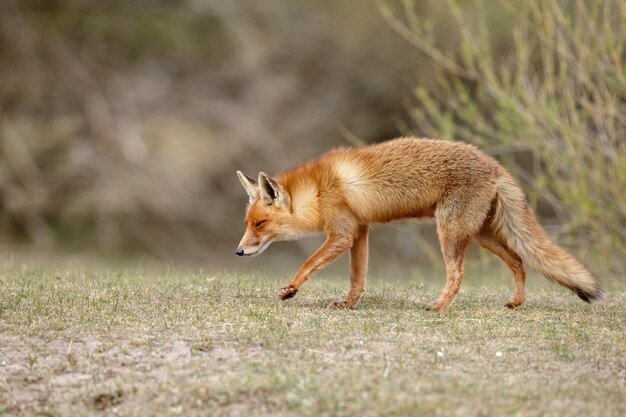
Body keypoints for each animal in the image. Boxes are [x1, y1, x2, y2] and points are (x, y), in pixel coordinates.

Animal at [233, 136, 600, 308]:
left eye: (259, 224)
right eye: (248, 224)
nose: (238, 252)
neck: (318, 191)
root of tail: (496, 166)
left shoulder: (342, 233)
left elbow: (308, 263)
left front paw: (290, 289)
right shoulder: (360, 231)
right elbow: (357, 278)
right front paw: (349, 305)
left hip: (449, 232)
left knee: (458, 274)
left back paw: (438, 307)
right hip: (481, 235)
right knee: (519, 261)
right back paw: (516, 303)